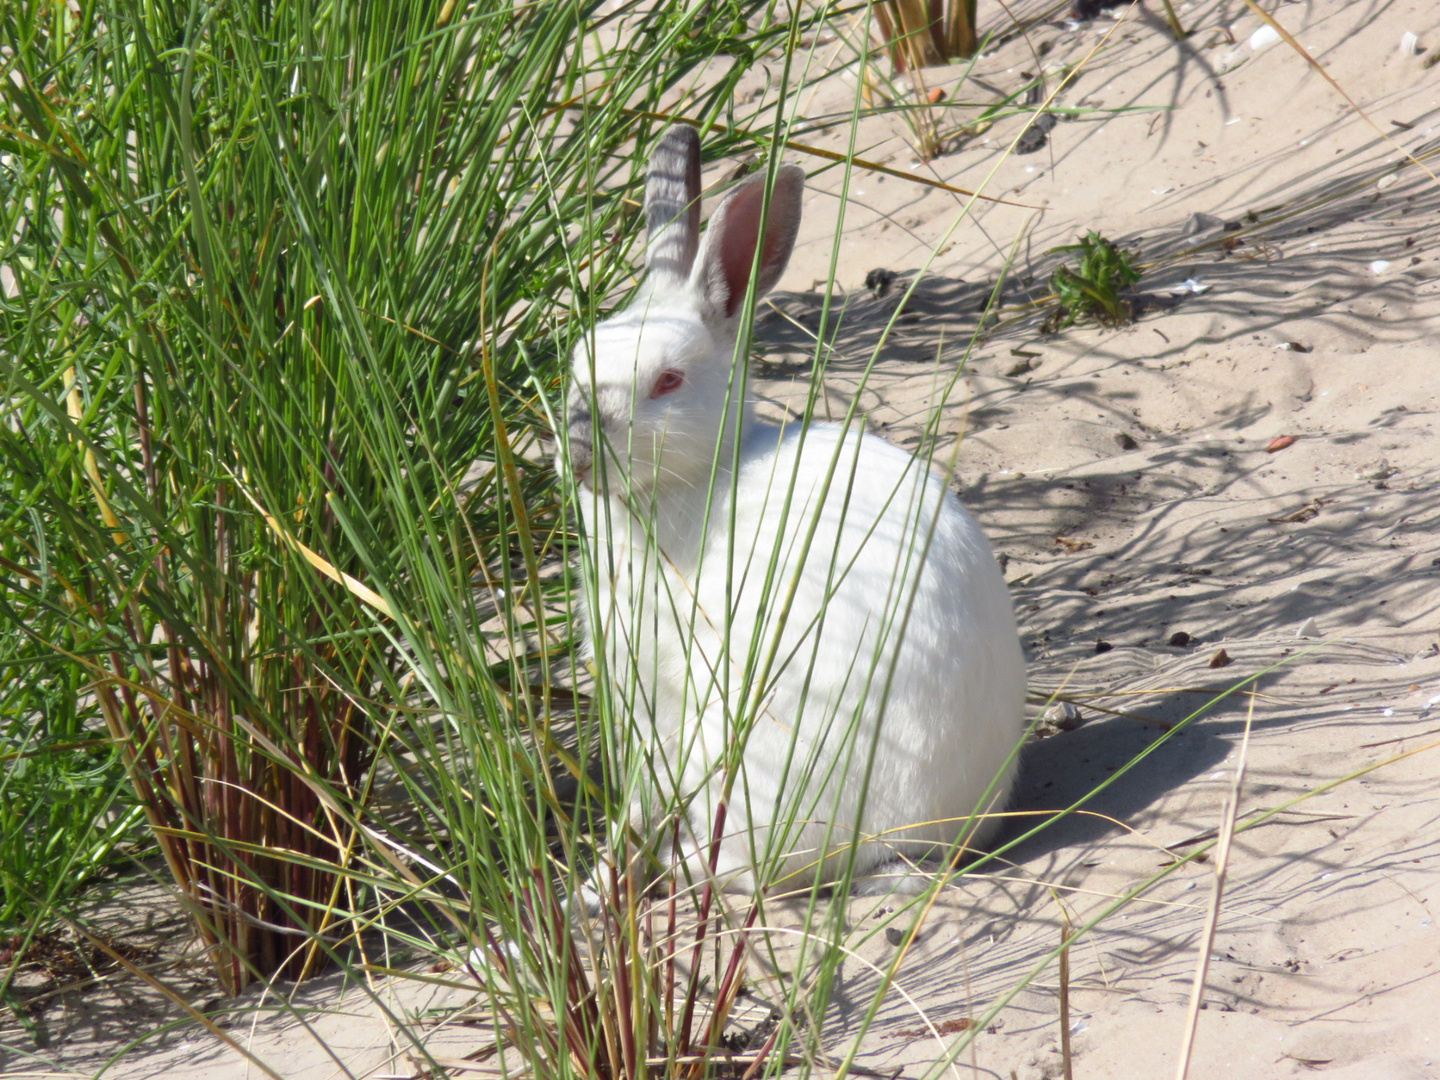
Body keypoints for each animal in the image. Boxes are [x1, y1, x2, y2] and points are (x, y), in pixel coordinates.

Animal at [561, 126, 1025, 892]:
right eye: (575, 364)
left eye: (667, 380)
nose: (575, 453)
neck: (699, 477)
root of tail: (908, 840)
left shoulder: (656, 692)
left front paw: (603, 871)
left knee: (750, 870)